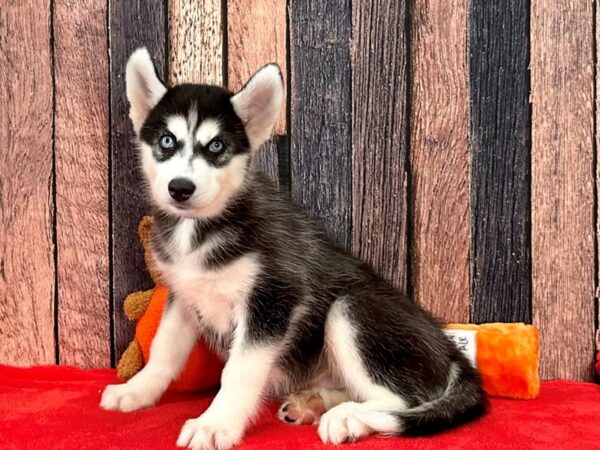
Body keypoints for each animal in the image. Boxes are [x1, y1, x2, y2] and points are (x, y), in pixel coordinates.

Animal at [101, 47, 488, 448]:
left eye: (216, 146)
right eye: (166, 141)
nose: (180, 188)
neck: (201, 228)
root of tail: (452, 351)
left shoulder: (273, 298)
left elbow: (238, 371)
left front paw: (216, 423)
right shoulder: (184, 294)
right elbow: (163, 350)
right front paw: (137, 390)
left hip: (352, 309)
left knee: (401, 400)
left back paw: (347, 418)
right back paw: (313, 402)